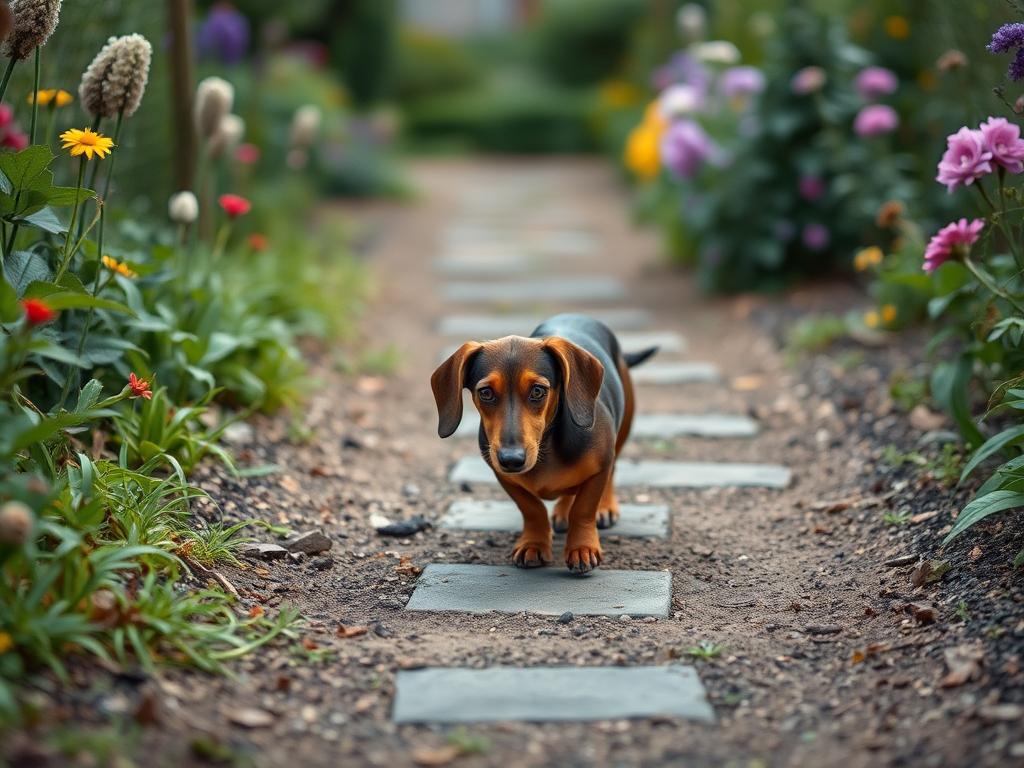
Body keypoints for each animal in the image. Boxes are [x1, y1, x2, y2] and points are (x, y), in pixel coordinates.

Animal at [430, 313, 655, 573]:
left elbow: (584, 509)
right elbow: (532, 509)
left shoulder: (600, 466)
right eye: (485, 393)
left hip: (624, 427)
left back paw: (605, 507)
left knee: (613, 469)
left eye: (538, 391)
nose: (511, 459)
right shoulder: (505, 477)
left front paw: (582, 548)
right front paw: (534, 544)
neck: (546, 447)